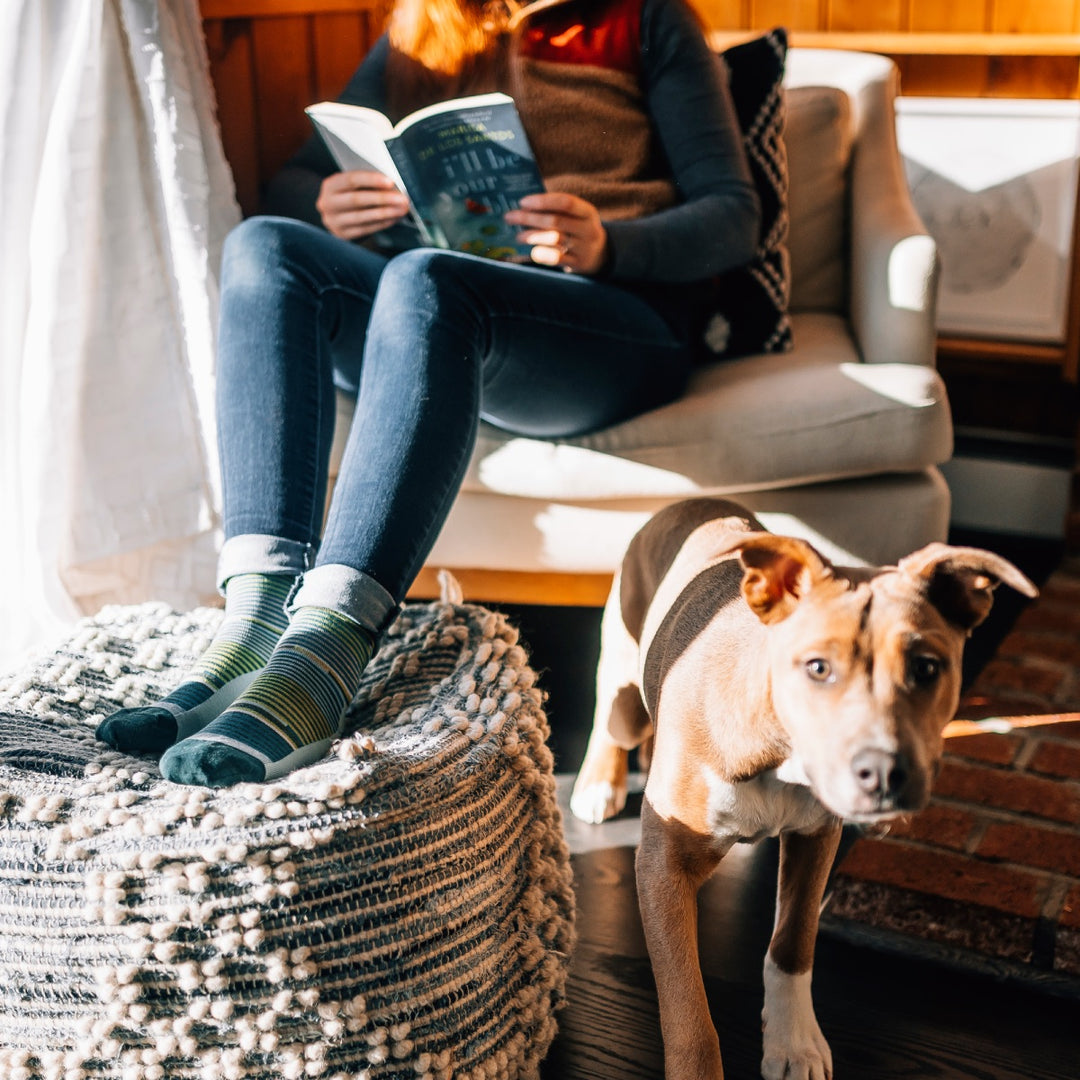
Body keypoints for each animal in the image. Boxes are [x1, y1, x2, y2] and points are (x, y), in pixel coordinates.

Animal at [570, 496, 1032, 1080]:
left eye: (927, 668)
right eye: (817, 667)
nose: (884, 772)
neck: (778, 755)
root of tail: (689, 502)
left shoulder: (817, 839)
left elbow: (793, 942)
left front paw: (793, 1044)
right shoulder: (662, 866)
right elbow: (686, 1005)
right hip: (623, 681)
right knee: (611, 717)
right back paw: (597, 785)